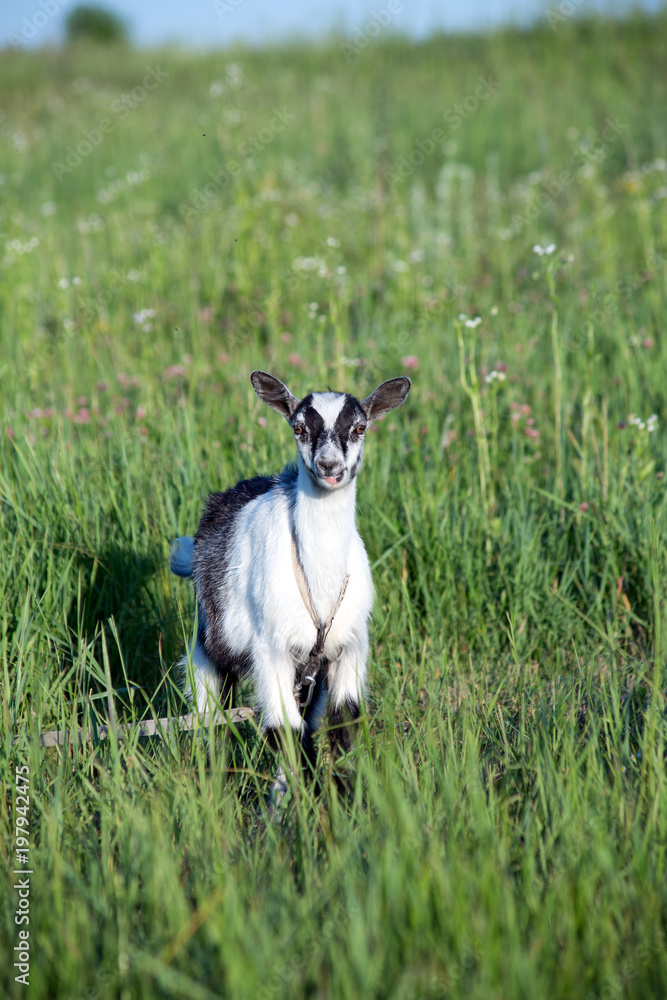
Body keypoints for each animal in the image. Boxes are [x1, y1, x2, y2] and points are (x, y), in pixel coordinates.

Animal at [171, 372, 412, 792]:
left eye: (360, 427)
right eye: (298, 427)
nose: (329, 465)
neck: (320, 588)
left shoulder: (348, 647)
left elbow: (345, 724)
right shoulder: (272, 649)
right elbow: (283, 732)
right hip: (209, 641)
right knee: (212, 714)